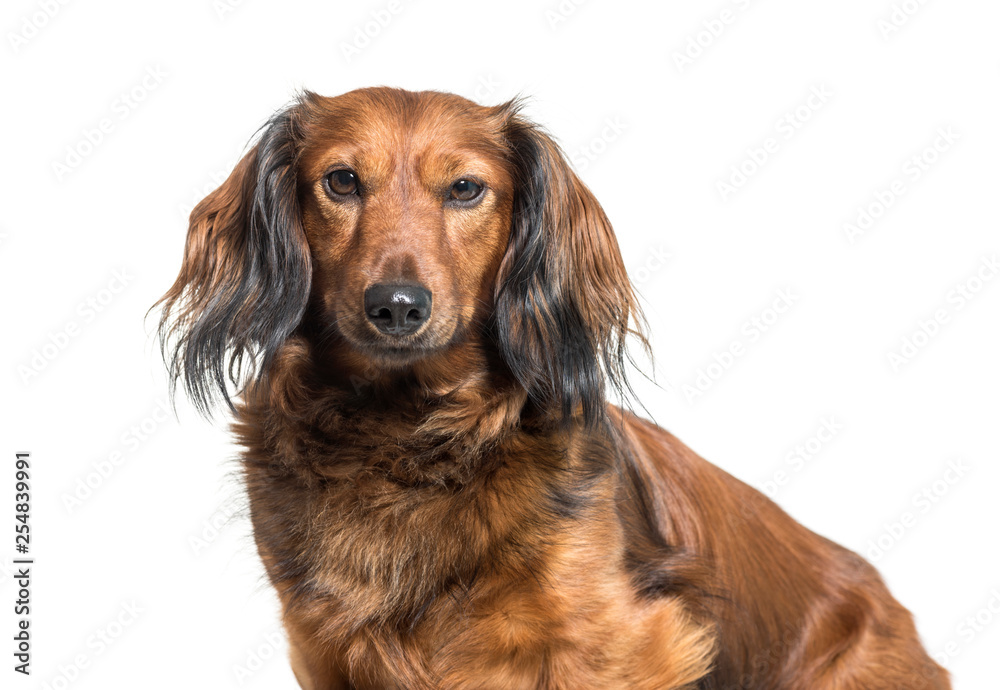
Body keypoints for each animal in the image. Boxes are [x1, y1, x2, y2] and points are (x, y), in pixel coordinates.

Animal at [154, 87, 944, 688]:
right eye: (342, 181)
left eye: (465, 188)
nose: (398, 306)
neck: (408, 440)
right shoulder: (326, 650)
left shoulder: (621, 643)